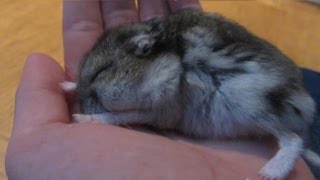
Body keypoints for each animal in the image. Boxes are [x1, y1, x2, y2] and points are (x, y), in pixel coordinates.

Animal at [61, 9, 316, 180]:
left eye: (101, 72)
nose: (81, 107)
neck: (171, 65)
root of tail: (306, 106)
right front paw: (65, 85)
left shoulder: (158, 109)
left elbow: (114, 117)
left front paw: (81, 118)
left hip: (252, 105)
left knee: (293, 139)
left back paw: (269, 172)